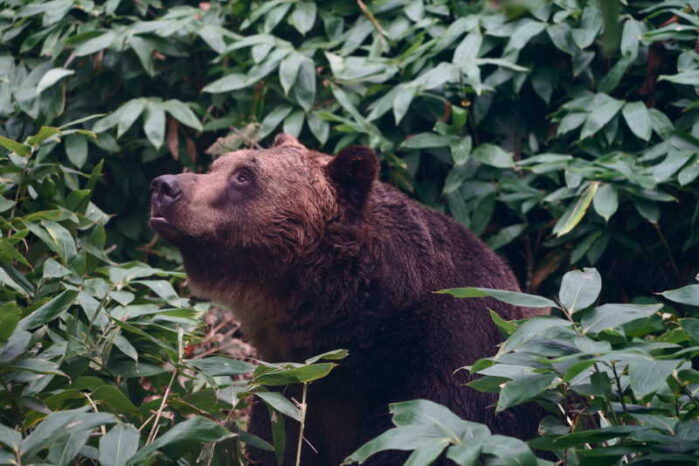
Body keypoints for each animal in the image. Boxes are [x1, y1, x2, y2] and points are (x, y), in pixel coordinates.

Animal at [150, 133, 544, 464]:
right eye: (217, 165)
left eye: (244, 176)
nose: (164, 186)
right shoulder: (293, 383)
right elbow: (276, 440)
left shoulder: (451, 359)